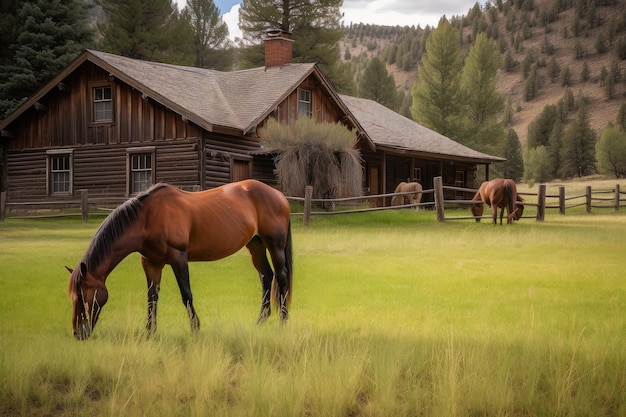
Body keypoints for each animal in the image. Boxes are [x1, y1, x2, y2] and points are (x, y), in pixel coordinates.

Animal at [67, 179, 292, 338]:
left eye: (83, 296)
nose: (78, 333)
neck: (147, 218)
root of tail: (279, 195)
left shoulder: (178, 258)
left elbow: (186, 294)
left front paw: (195, 328)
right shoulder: (151, 263)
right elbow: (151, 297)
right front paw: (149, 332)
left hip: (275, 245)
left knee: (281, 276)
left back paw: (283, 321)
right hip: (255, 245)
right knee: (266, 276)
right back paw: (260, 322)